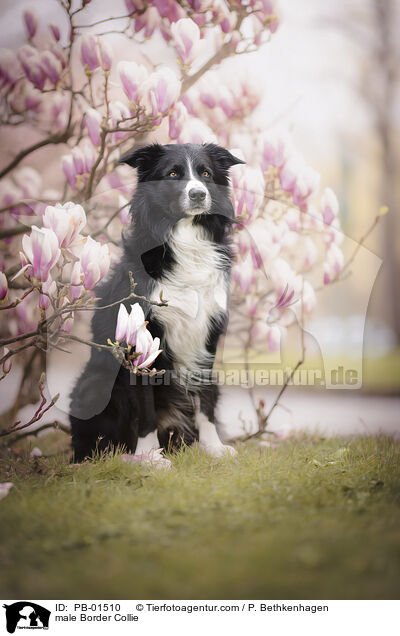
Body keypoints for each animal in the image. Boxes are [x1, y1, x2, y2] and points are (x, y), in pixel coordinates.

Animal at [69, 142, 244, 464]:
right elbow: (144, 406)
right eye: (173, 173)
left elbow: (205, 400)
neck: (186, 239)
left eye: (205, 173)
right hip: (93, 384)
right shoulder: (141, 340)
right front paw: (150, 458)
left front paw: (213, 447)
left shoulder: (208, 337)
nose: (198, 194)